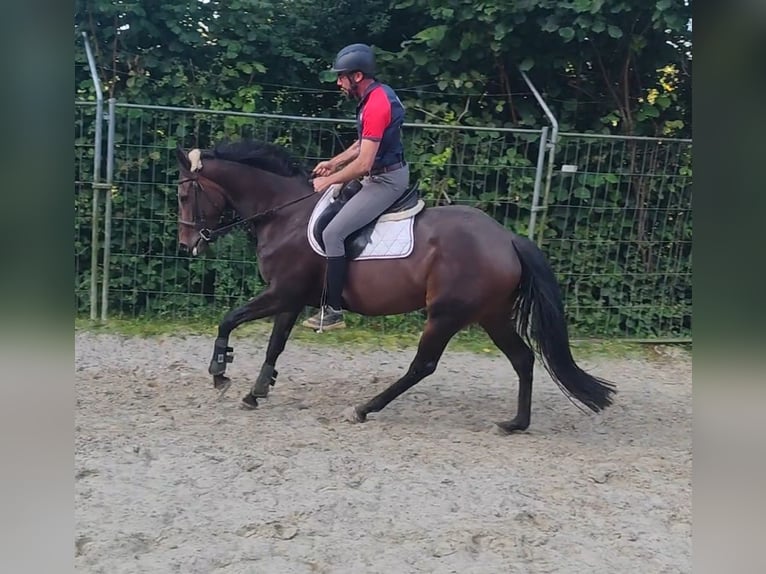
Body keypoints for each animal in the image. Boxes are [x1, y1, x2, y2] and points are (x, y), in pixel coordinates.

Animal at [176, 142, 616, 434]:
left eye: (183, 194)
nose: (187, 244)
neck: (285, 213)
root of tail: (507, 238)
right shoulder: (291, 298)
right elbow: (274, 344)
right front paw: (256, 391)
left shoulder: (282, 293)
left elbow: (228, 319)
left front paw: (219, 374)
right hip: (491, 315)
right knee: (523, 359)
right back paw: (516, 423)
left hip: (446, 314)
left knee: (423, 366)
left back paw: (364, 408)